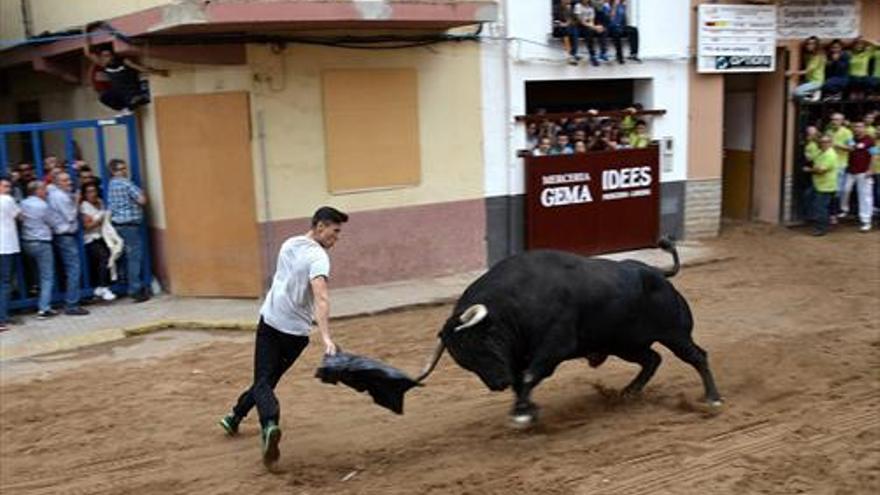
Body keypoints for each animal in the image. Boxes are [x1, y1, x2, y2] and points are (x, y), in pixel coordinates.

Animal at [412, 240, 720, 426]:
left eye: (484, 341)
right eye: (464, 360)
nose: (497, 382)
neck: (513, 304)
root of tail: (659, 273)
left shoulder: (554, 347)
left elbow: (528, 376)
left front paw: (522, 414)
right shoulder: (519, 358)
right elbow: (521, 382)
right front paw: (526, 409)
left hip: (675, 334)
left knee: (697, 357)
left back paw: (713, 398)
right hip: (624, 344)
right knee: (652, 359)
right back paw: (627, 393)